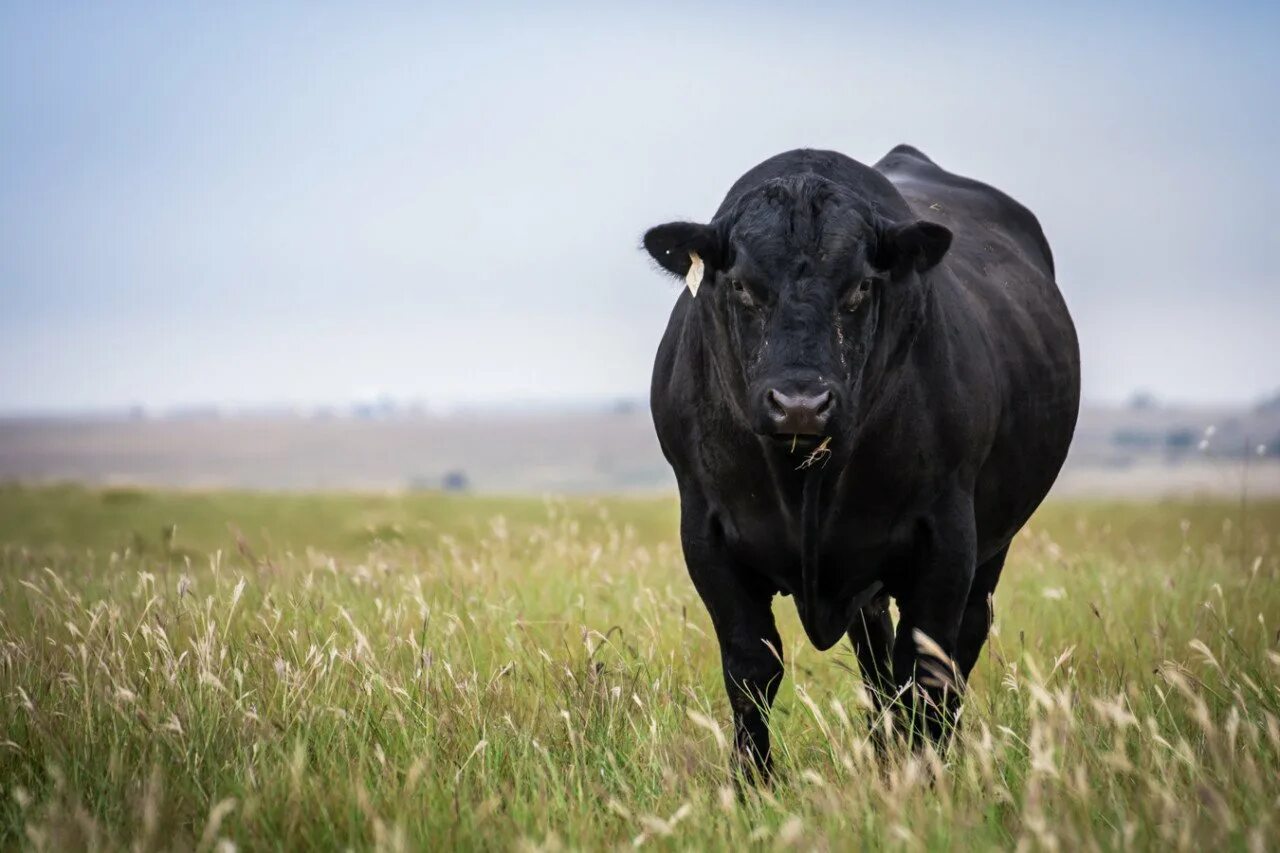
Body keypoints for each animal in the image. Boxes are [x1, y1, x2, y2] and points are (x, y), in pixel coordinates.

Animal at [645, 144, 1075, 778]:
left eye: (861, 287)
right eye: (743, 285)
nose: (800, 403)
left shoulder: (948, 536)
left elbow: (928, 668)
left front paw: (925, 777)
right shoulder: (706, 531)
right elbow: (752, 667)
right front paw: (752, 783)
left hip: (991, 547)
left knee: (955, 649)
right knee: (876, 659)